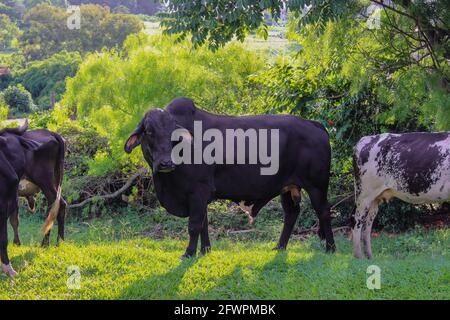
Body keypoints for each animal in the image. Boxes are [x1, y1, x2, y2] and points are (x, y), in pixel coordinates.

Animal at [125, 97, 336, 258]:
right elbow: (204, 224)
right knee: (291, 214)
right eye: (149, 131)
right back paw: (280, 247)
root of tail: (315, 124)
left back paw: (330, 248)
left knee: (324, 212)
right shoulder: (201, 197)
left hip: (317, 186)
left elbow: (194, 225)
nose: (166, 163)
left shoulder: (198, 191)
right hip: (287, 187)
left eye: (173, 134)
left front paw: (189, 253)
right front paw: (205, 250)